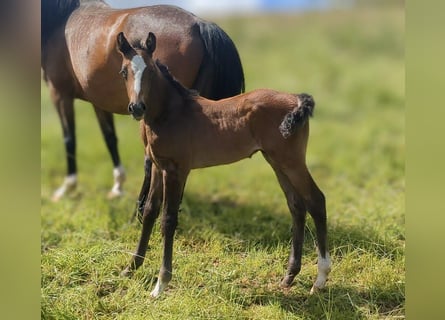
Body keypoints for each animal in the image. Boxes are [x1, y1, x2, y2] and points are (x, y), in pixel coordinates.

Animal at [41, 0, 245, 202]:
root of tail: (199, 24)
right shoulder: (98, 100)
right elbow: (110, 138)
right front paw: (117, 187)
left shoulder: (59, 93)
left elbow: (69, 138)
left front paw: (67, 188)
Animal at [117, 32, 330, 298]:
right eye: (124, 72)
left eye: (151, 72)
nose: (136, 108)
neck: (171, 112)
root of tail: (296, 99)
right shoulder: (157, 166)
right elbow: (149, 212)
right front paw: (131, 268)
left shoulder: (176, 170)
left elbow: (168, 219)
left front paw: (160, 284)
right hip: (276, 161)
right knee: (297, 206)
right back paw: (289, 277)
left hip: (291, 161)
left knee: (316, 201)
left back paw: (320, 279)